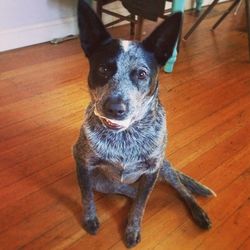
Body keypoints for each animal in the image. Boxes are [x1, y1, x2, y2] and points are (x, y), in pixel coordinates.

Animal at [73, 0, 216, 248]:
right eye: (103, 68)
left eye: (141, 74)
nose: (115, 108)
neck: (124, 138)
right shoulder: (83, 163)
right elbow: (87, 196)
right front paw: (90, 219)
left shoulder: (151, 170)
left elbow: (141, 206)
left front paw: (132, 229)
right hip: (106, 181)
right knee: (135, 191)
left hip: (164, 166)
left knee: (177, 188)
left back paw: (197, 211)